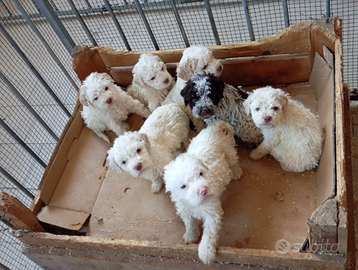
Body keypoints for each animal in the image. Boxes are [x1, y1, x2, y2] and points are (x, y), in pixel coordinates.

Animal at [164, 120, 242, 264]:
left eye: (201, 173)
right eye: (183, 186)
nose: (203, 190)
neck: (195, 205)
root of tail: (215, 125)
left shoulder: (212, 213)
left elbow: (209, 233)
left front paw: (205, 251)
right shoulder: (184, 208)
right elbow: (189, 223)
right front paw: (191, 235)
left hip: (228, 151)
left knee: (234, 161)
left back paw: (237, 171)